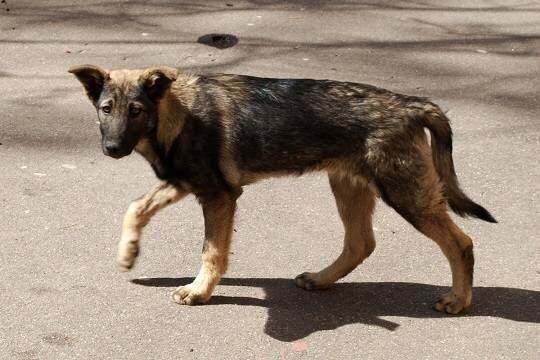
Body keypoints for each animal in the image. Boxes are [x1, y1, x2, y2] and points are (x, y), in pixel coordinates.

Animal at [69, 64, 496, 316]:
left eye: (136, 111)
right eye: (106, 109)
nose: (112, 149)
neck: (176, 112)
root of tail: (411, 104)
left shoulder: (219, 196)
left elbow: (211, 251)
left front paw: (199, 291)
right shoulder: (186, 183)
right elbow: (136, 207)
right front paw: (128, 253)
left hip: (406, 193)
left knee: (460, 243)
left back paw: (459, 300)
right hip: (349, 187)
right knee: (361, 243)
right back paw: (321, 279)